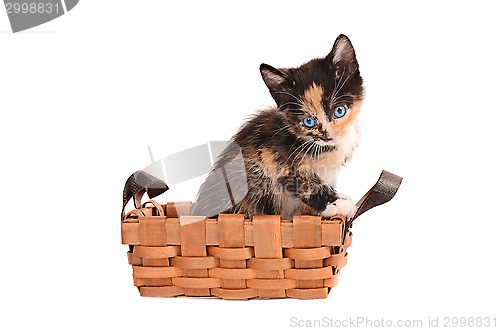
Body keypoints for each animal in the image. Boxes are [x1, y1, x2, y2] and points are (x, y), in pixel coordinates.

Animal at [190, 34, 364, 220]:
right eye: (308, 122)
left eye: (339, 111)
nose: (329, 136)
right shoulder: (270, 156)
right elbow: (303, 181)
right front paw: (335, 203)